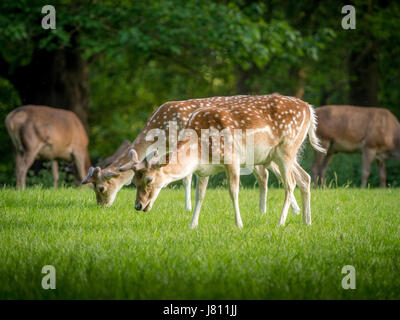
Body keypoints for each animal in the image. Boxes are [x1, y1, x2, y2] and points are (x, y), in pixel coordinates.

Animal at [83, 96, 300, 214]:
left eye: (101, 188)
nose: (101, 206)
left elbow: (186, 177)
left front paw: (187, 207)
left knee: (282, 174)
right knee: (276, 174)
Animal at [119, 94, 324, 229]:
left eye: (149, 180)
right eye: (134, 181)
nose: (138, 205)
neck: (200, 150)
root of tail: (309, 109)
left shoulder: (232, 158)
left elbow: (233, 192)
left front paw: (239, 224)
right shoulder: (204, 170)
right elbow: (200, 195)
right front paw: (192, 224)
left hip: (287, 149)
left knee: (290, 183)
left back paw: (280, 222)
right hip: (282, 153)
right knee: (304, 178)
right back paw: (307, 221)